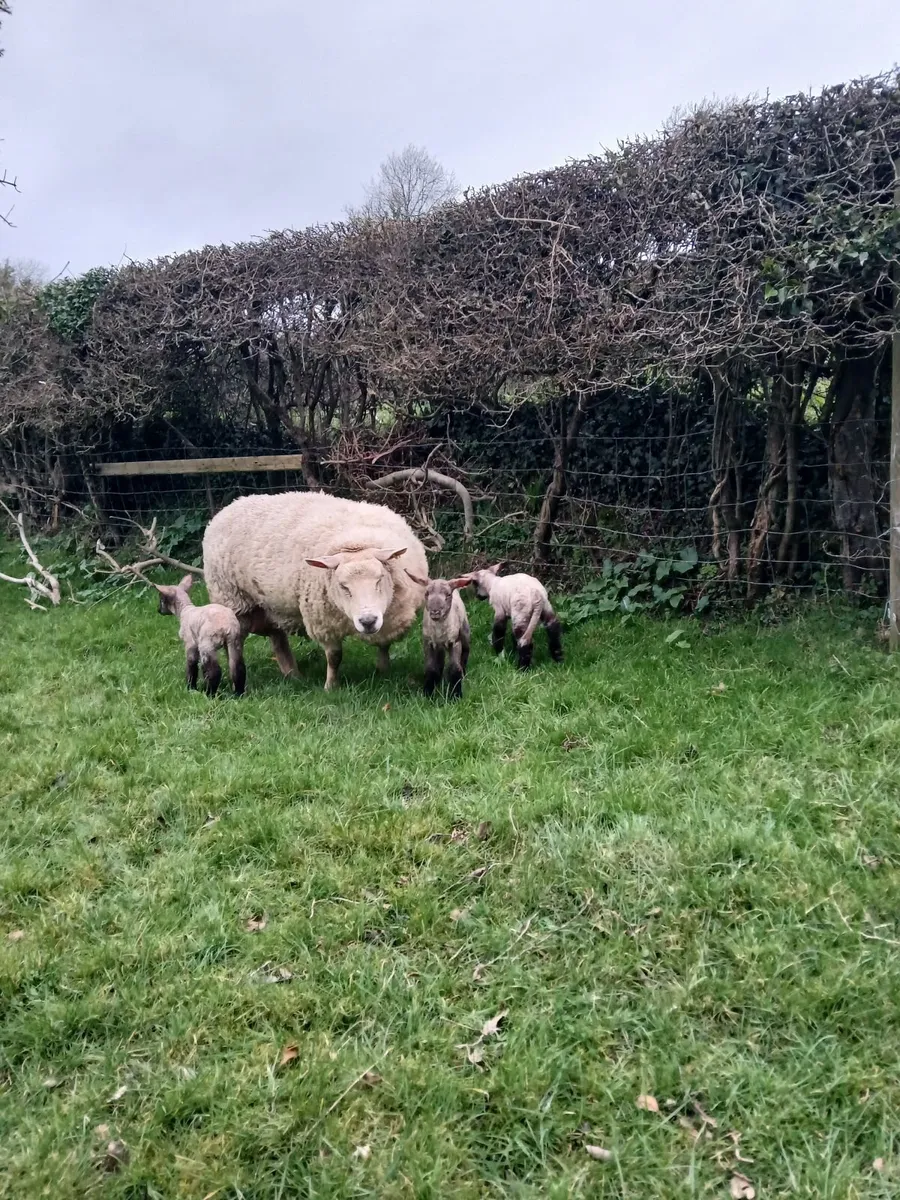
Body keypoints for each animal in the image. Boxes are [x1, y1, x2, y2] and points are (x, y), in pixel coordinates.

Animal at [202, 491, 428, 691]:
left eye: (380, 579)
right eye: (343, 586)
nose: (368, 621)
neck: (355, 541)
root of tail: (232, 505)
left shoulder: (391, 616)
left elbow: (384, 644)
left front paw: (383, 670)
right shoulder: (324, 621)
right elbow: (334, 656)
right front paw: (331, 686)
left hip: (271, 605)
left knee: (278, 639)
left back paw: (293, 675)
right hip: (234, 601)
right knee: (236, 644)